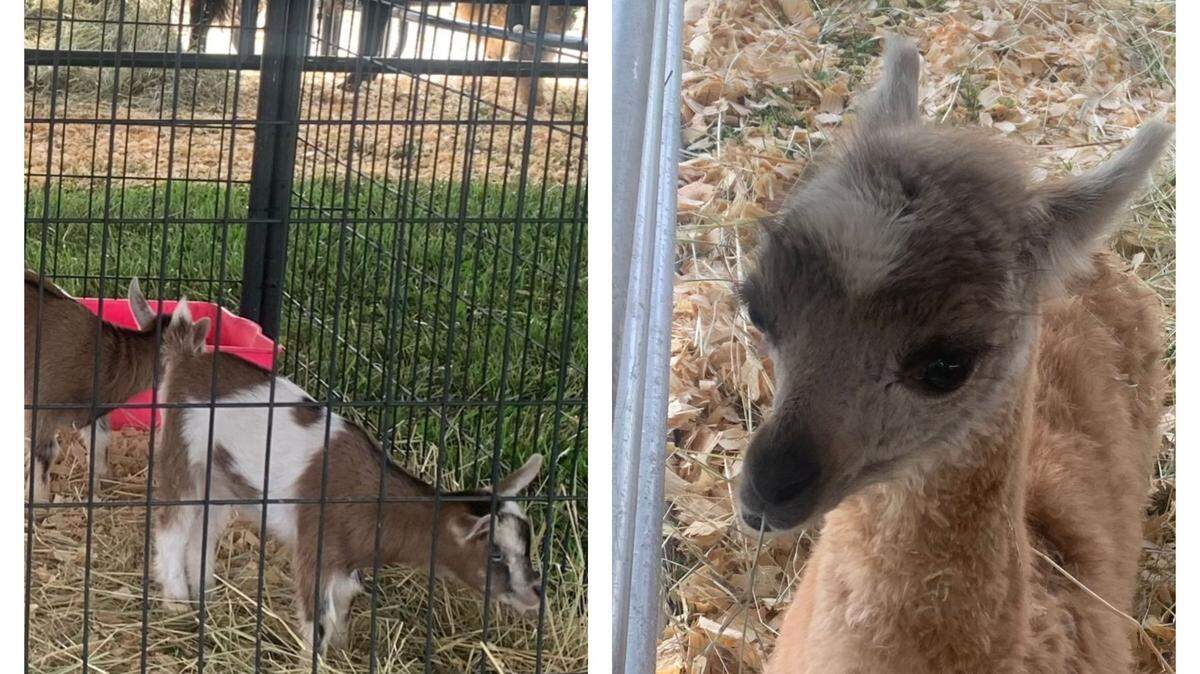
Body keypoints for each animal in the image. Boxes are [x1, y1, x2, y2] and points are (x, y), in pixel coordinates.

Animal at [25, 272, 165, 503]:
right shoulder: (41, 404)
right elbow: (45, 454)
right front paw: (38, 500)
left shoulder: (93, 409)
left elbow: (99, 441)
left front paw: (99, 488)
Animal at [152, 299, 544, 654]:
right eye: (495, 553)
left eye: (527, 545)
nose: (535, 595)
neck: (372, 497)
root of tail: (189, 354)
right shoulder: (316, 542)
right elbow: (316, 615)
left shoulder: (344, 562)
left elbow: (344, 599)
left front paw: (340, 650)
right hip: (181, 452)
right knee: (172, 528)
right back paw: (177, 603)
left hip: (220, 479)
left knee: (203, 532)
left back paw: (207, 594)